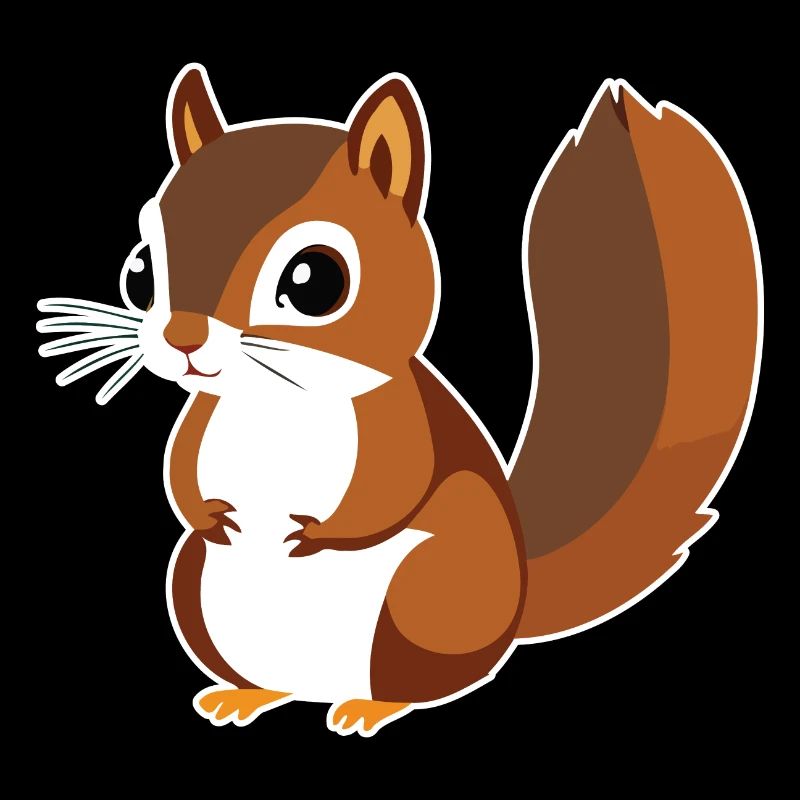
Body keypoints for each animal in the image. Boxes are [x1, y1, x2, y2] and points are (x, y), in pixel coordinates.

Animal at [37, 64, 760, 736]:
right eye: (140, 269)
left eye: (315, 280)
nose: (182, 337)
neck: (273, 402)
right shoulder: (202, 421)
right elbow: (180, 474)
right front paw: (210, 515)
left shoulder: (399, 423)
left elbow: (390, 488)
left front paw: (315, 534)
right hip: (194, 589)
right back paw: (246, 695)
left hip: (426, 599)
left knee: (417, 682)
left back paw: (369, 707)